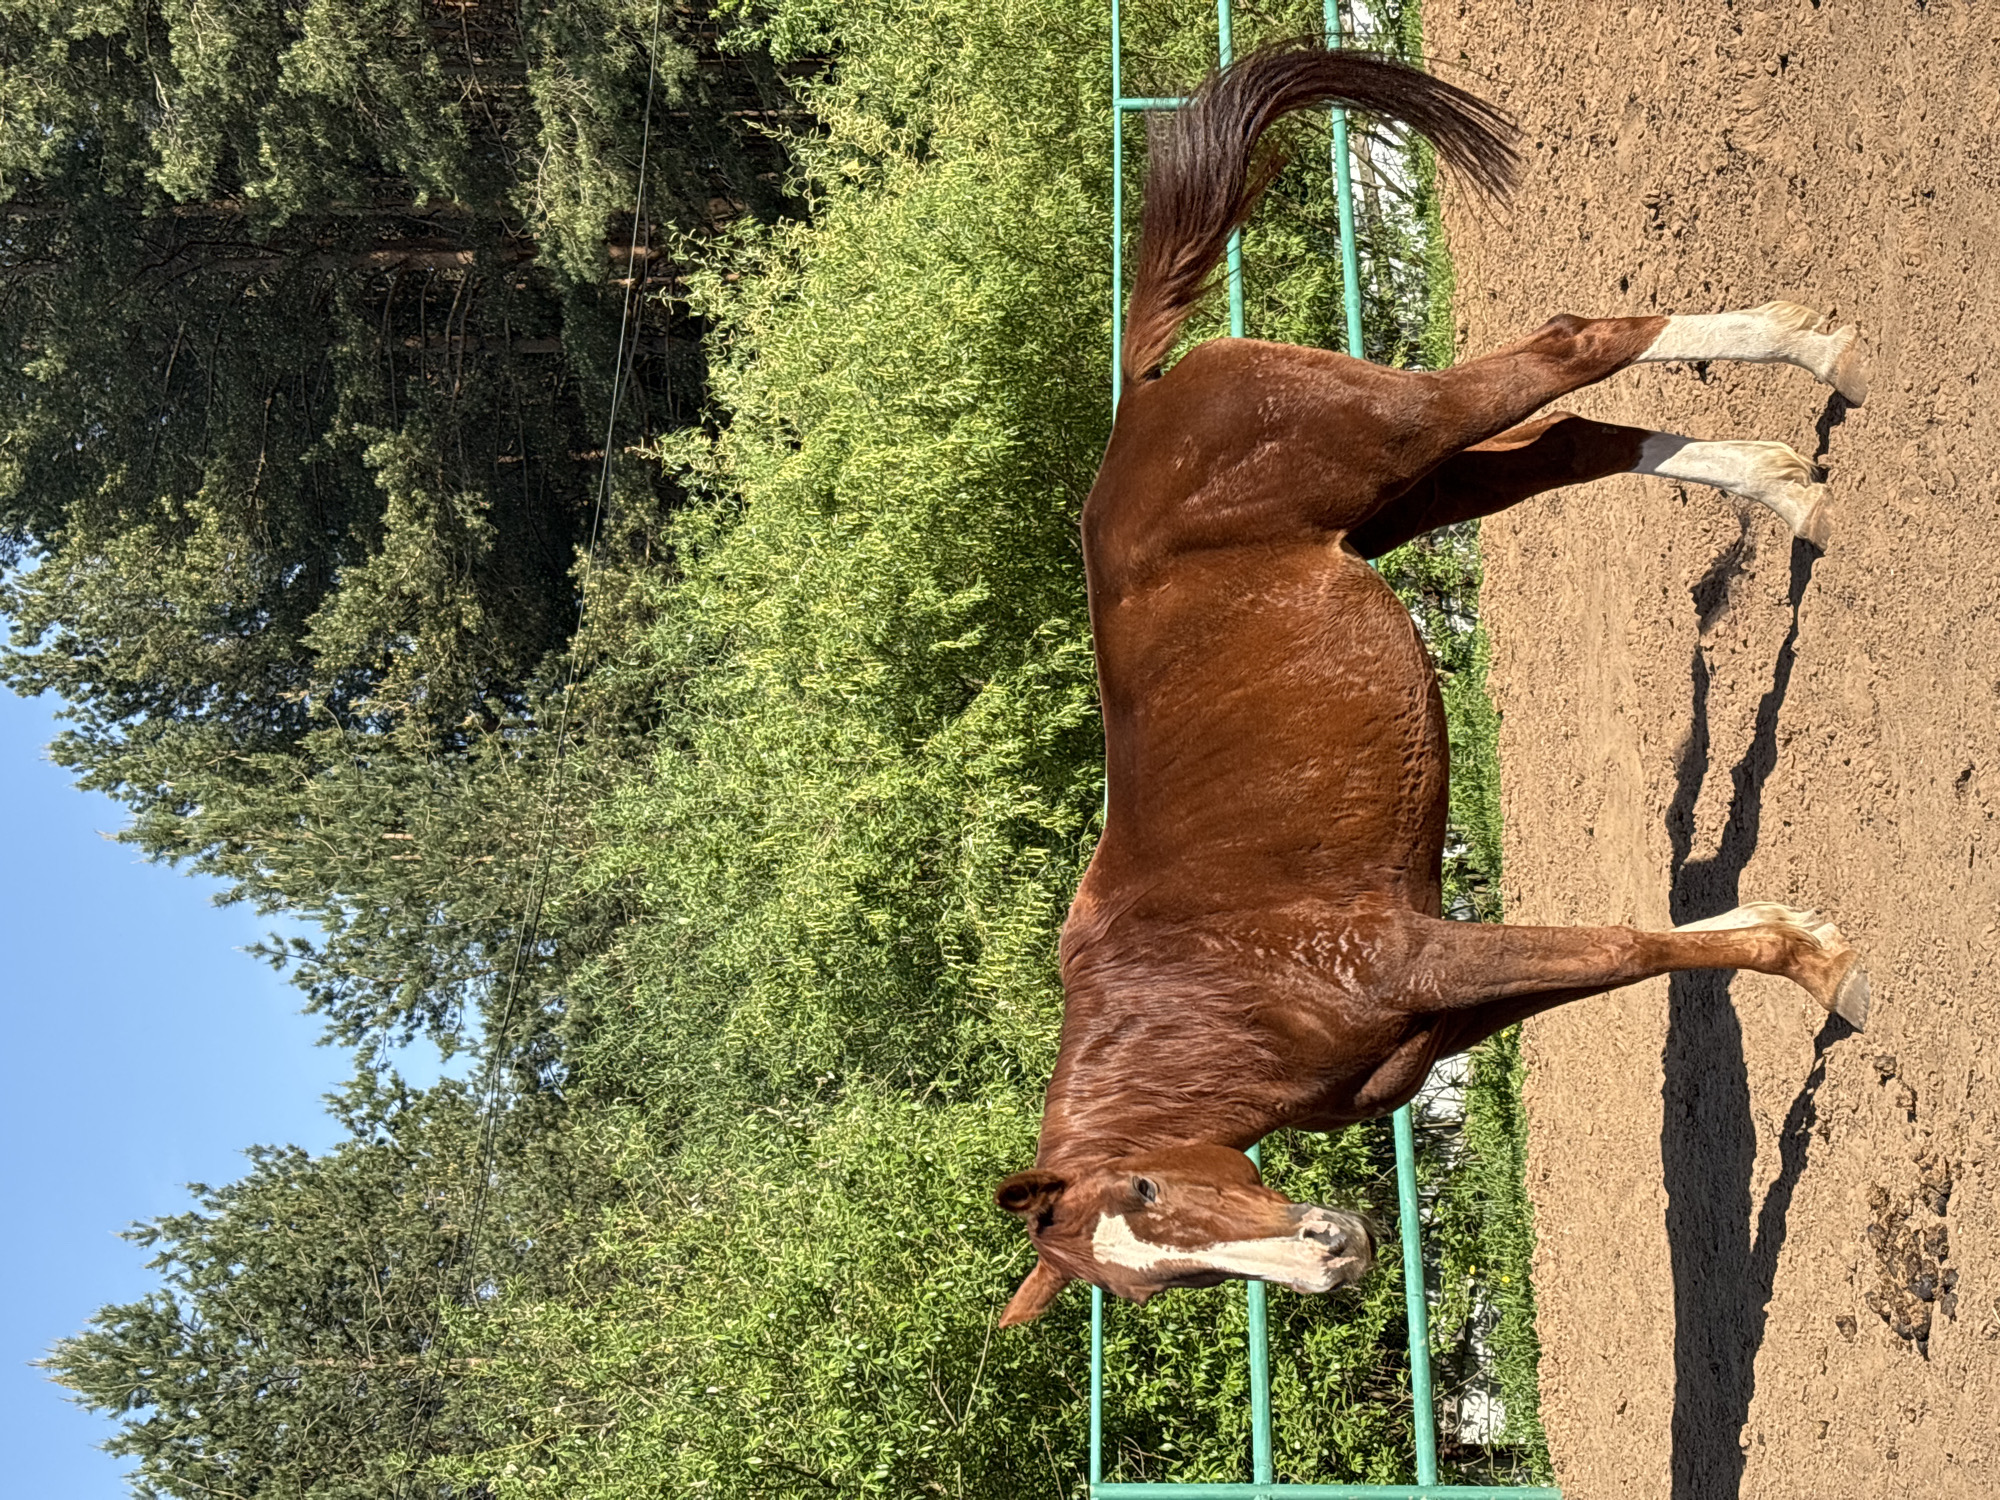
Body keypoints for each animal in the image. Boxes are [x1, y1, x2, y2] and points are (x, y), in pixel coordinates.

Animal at [993, 44, 1870, 1329]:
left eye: (1147, 1190)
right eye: (1158, 1279)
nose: (1332, 1251)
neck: (1205, 994)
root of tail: (1142, 395)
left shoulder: (1421, 959)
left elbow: (1622, 949)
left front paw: (1827, 973)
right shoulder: (1444, 1004)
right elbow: (1632, 949)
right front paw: (1790, 931)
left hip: (1400, 434)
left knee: (1569, 345)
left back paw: (1813, 349)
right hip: (1413, 493)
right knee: (1570, 441)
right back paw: (1784, 487)